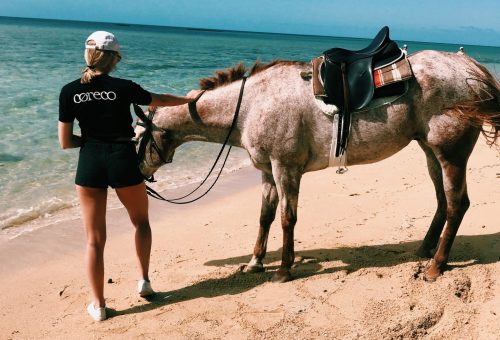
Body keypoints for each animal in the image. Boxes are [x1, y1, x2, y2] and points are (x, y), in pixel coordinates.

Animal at [134, 49, 500, 282]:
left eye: (136, 136)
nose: (139, 175)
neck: (252, 104)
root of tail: (471, 68)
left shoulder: (285, 168)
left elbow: (287, 218)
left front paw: (283, 270)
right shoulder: (267, 172)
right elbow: (265, 217)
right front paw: (255, 262)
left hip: (451, 154)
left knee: (456, 204)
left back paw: (436, 266)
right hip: (429, 152)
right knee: (441, 201)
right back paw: (424, 250)